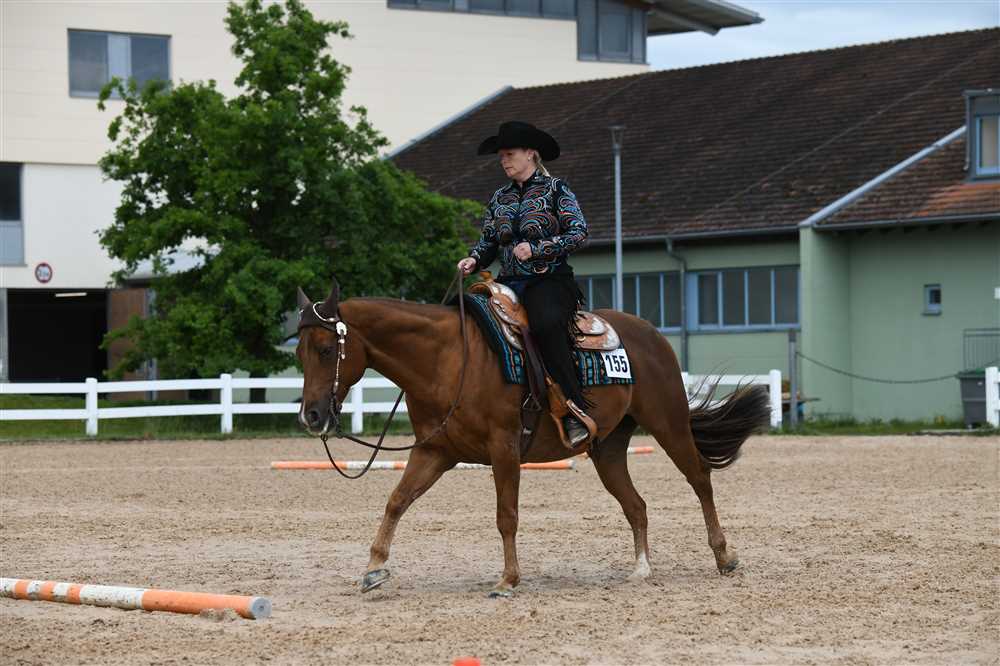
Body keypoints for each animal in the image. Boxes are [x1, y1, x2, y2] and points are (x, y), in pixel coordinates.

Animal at [296, 277, 771, 597]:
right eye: (298, 352)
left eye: (326, 349)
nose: (311, 415)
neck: (449, 358)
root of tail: (652, 334)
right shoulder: (434, 452)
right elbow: (396, 501)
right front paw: (374, 569)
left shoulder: (504, 449)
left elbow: (506, 515)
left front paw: (507, 580)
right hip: (608, 450)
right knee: (636, 504)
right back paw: (641, 568)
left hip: (669, 424)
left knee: (700, 479)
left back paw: (724, 556)